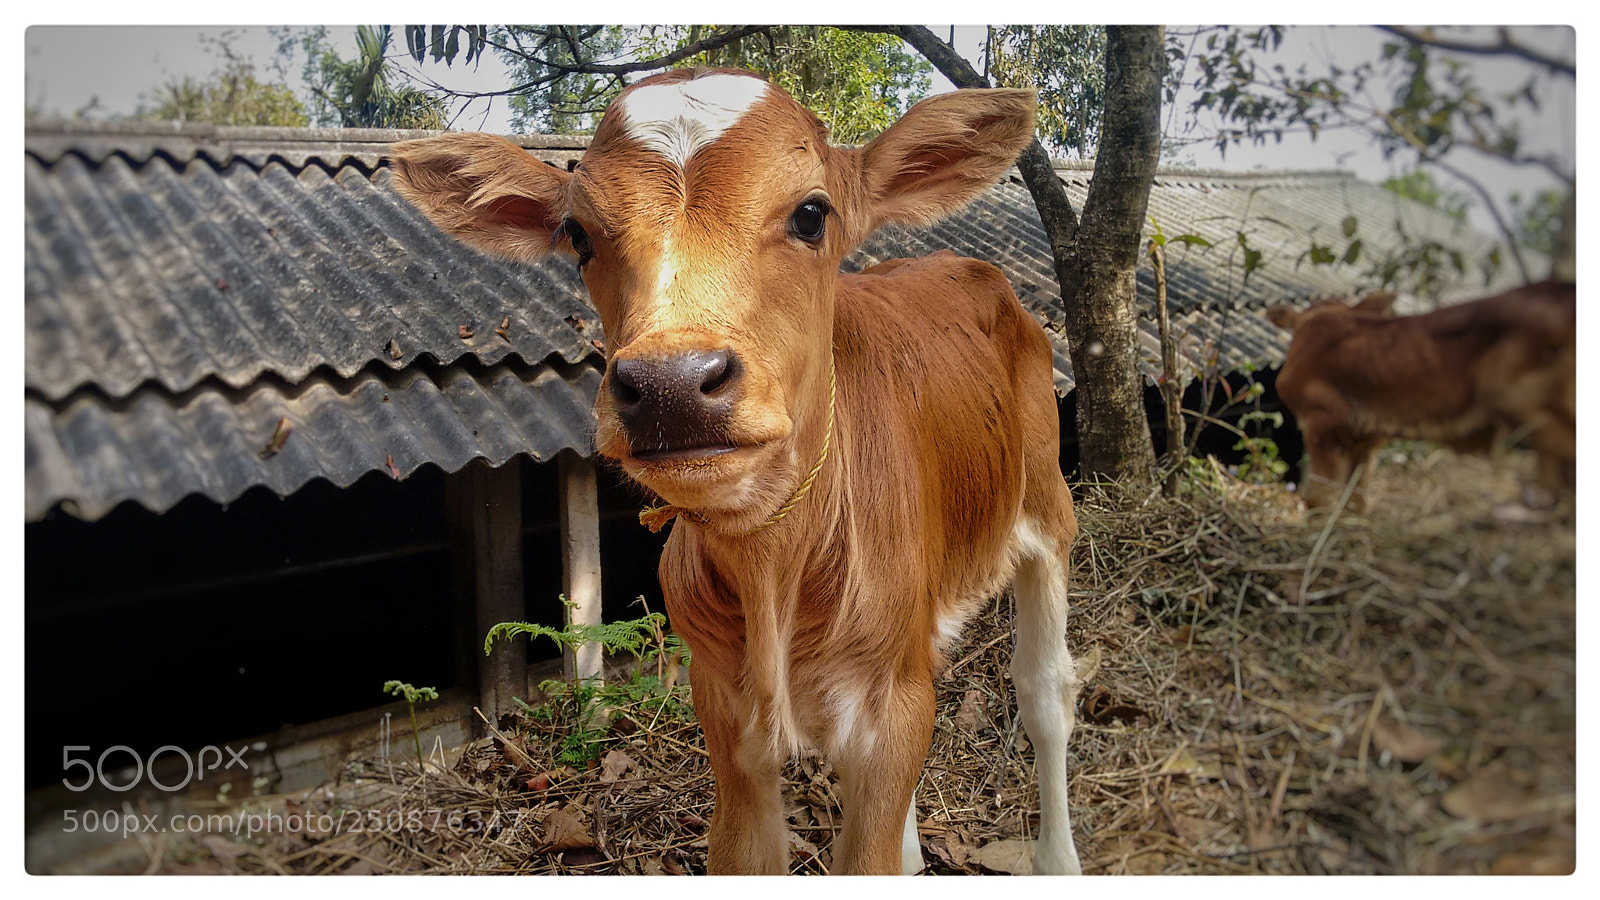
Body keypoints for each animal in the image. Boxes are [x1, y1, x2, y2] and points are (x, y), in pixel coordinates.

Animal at [388, 69, 1085, 875]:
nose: (671, 385)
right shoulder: (724, 711)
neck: (773, 565)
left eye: (812, 214)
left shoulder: (890, 711)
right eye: (579, 234)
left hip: (1048, 506)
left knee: (1045, 692)